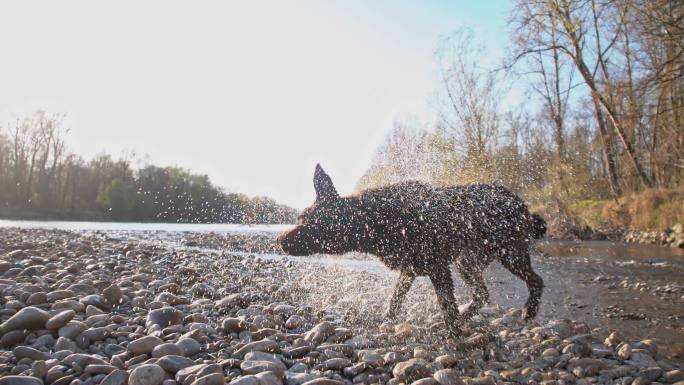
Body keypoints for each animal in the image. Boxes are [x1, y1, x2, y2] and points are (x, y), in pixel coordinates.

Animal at [278, 164, 544, 338]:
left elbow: (446, 307)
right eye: (300, 218)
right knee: (481, 294)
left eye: (308, 222)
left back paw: (529, 310)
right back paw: (467, 315)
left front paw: (454, 334)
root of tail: (524, 206)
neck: (374, 221)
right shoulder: (410, 269)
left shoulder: (437, 267)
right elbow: (395, 301)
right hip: (466, 260)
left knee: (535, 280)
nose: (280, 241)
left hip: (510, 254)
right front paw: (387, 323)